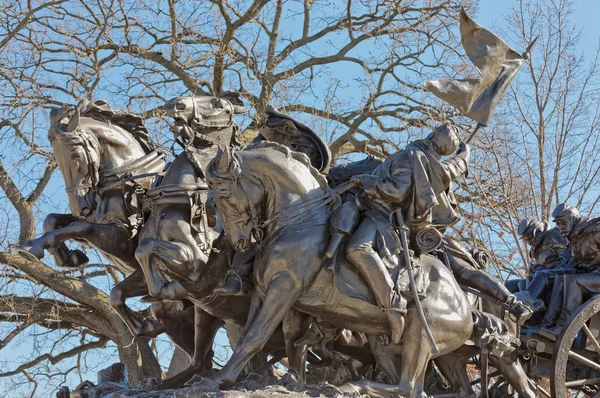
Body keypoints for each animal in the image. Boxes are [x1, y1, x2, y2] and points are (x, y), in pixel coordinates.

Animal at [206, 141, 474, 396]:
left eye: (224, 194)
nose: (239, 242)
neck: (300, 222)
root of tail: (466, 308)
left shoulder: (284, 287)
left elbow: (256, 336)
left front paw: (220, 379)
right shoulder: (269, 294)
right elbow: (278, 340)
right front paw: (291, 381)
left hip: (420, 334)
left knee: (408, 386)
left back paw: (350, 387)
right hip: (382, 342)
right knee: (412, 388)